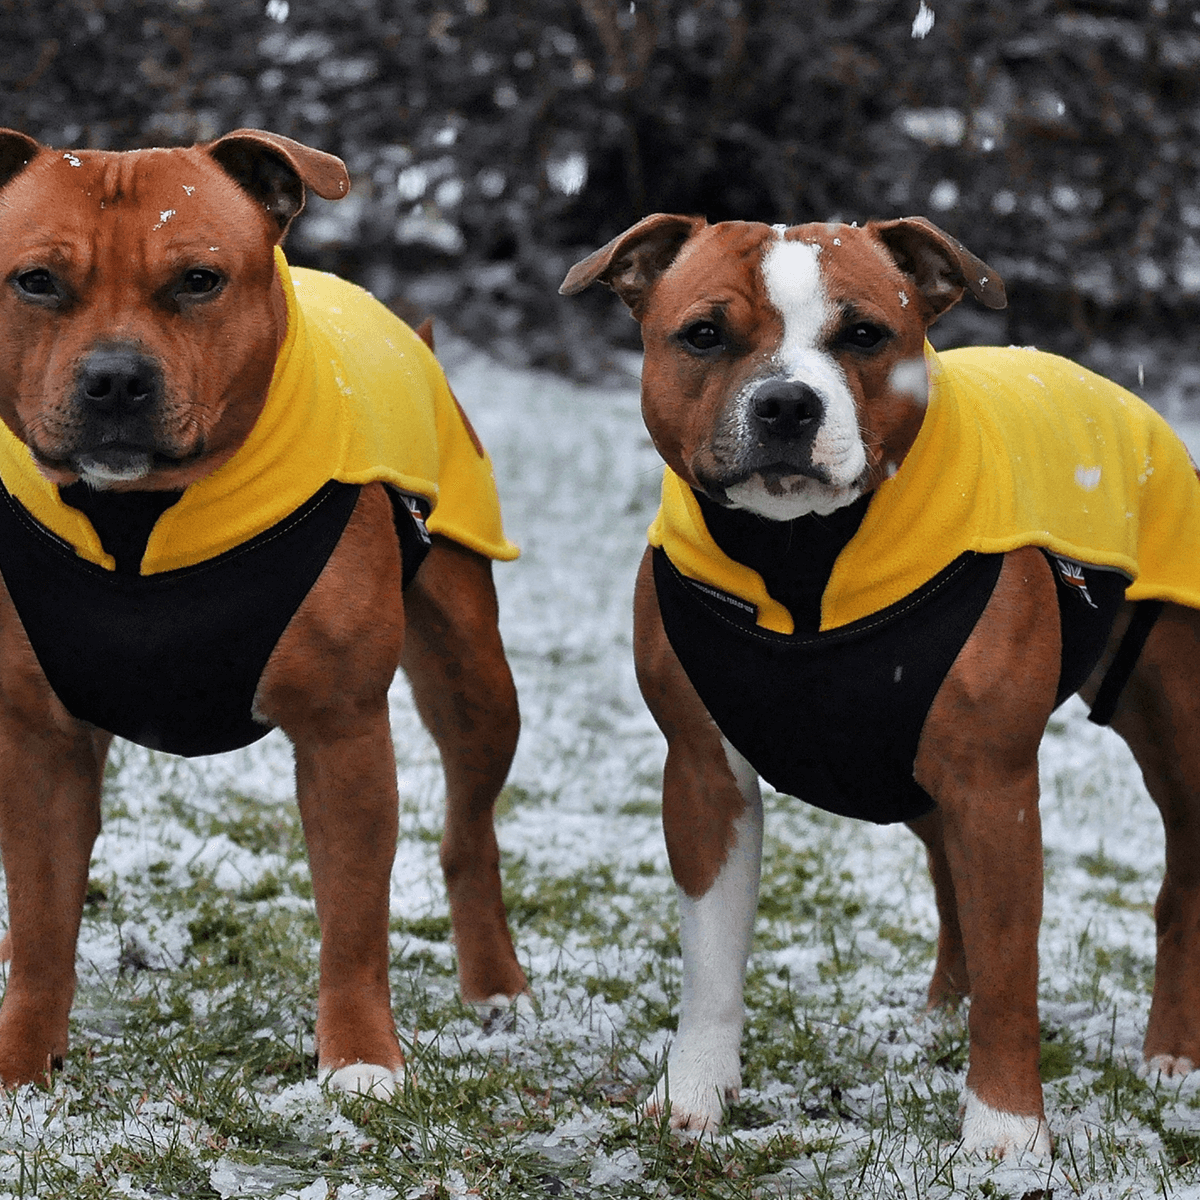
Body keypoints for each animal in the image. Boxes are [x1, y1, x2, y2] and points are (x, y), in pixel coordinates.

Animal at [0, 131, 530, 1099]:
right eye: (37, 282)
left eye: (199, 280)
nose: (116, 379)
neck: (139, 521)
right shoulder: (38, 738)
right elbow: (47, 911)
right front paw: (22, 1064)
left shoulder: (342, 731)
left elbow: (353, 920)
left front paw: (359, 1061)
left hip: (475, 674)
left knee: (468, 832)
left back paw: (495, 986)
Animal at [561, 213, 1200, 1152]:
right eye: (704, 335)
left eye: (864, 334)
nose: (787, 403)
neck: (802, 559)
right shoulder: (703, 776)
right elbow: (711, 959)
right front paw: (694, 1096)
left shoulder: (995, 787)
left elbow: (1012, 972)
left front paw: (1006, 1136)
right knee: (945, 869)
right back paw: (943, 1016)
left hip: (1172, 727)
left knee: (1178, 887)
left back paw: (1172, 1054)